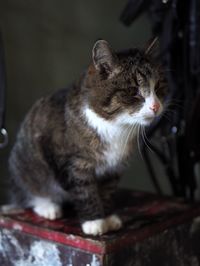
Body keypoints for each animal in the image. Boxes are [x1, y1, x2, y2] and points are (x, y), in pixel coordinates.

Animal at [7, 39, 167, 235]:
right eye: (133, 91)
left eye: (158, 87)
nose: (156, 106)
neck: (116, 127)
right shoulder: (73, 163)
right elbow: (85, 191)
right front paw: (94, 222)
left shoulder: (113, 168)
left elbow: (106, 192)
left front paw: (108, 218)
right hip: (25, 165)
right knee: (28, 190)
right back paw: (47, 206)